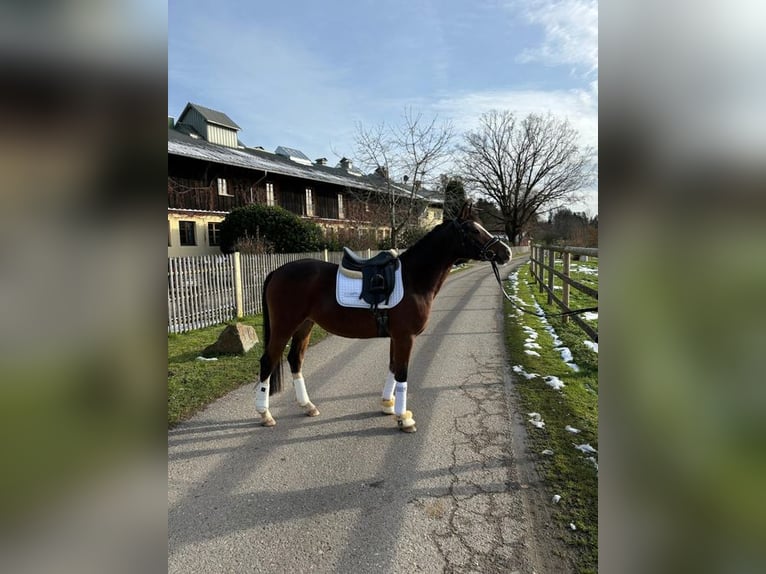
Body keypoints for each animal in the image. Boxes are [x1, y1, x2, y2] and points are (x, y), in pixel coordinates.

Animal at [255, 202, 512, 432]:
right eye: (473, 230)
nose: (506, 253)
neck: (413, 278)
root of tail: (277, 271)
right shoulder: (405, 337)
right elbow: (402, 373)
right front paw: (404, 419)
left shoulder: (396, 337)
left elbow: (392, 367)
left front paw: (388, 405)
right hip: (284, 327)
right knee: (268, 361)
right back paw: (265, 414)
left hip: (305, 326)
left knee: (295, 360)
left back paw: (307, 406)